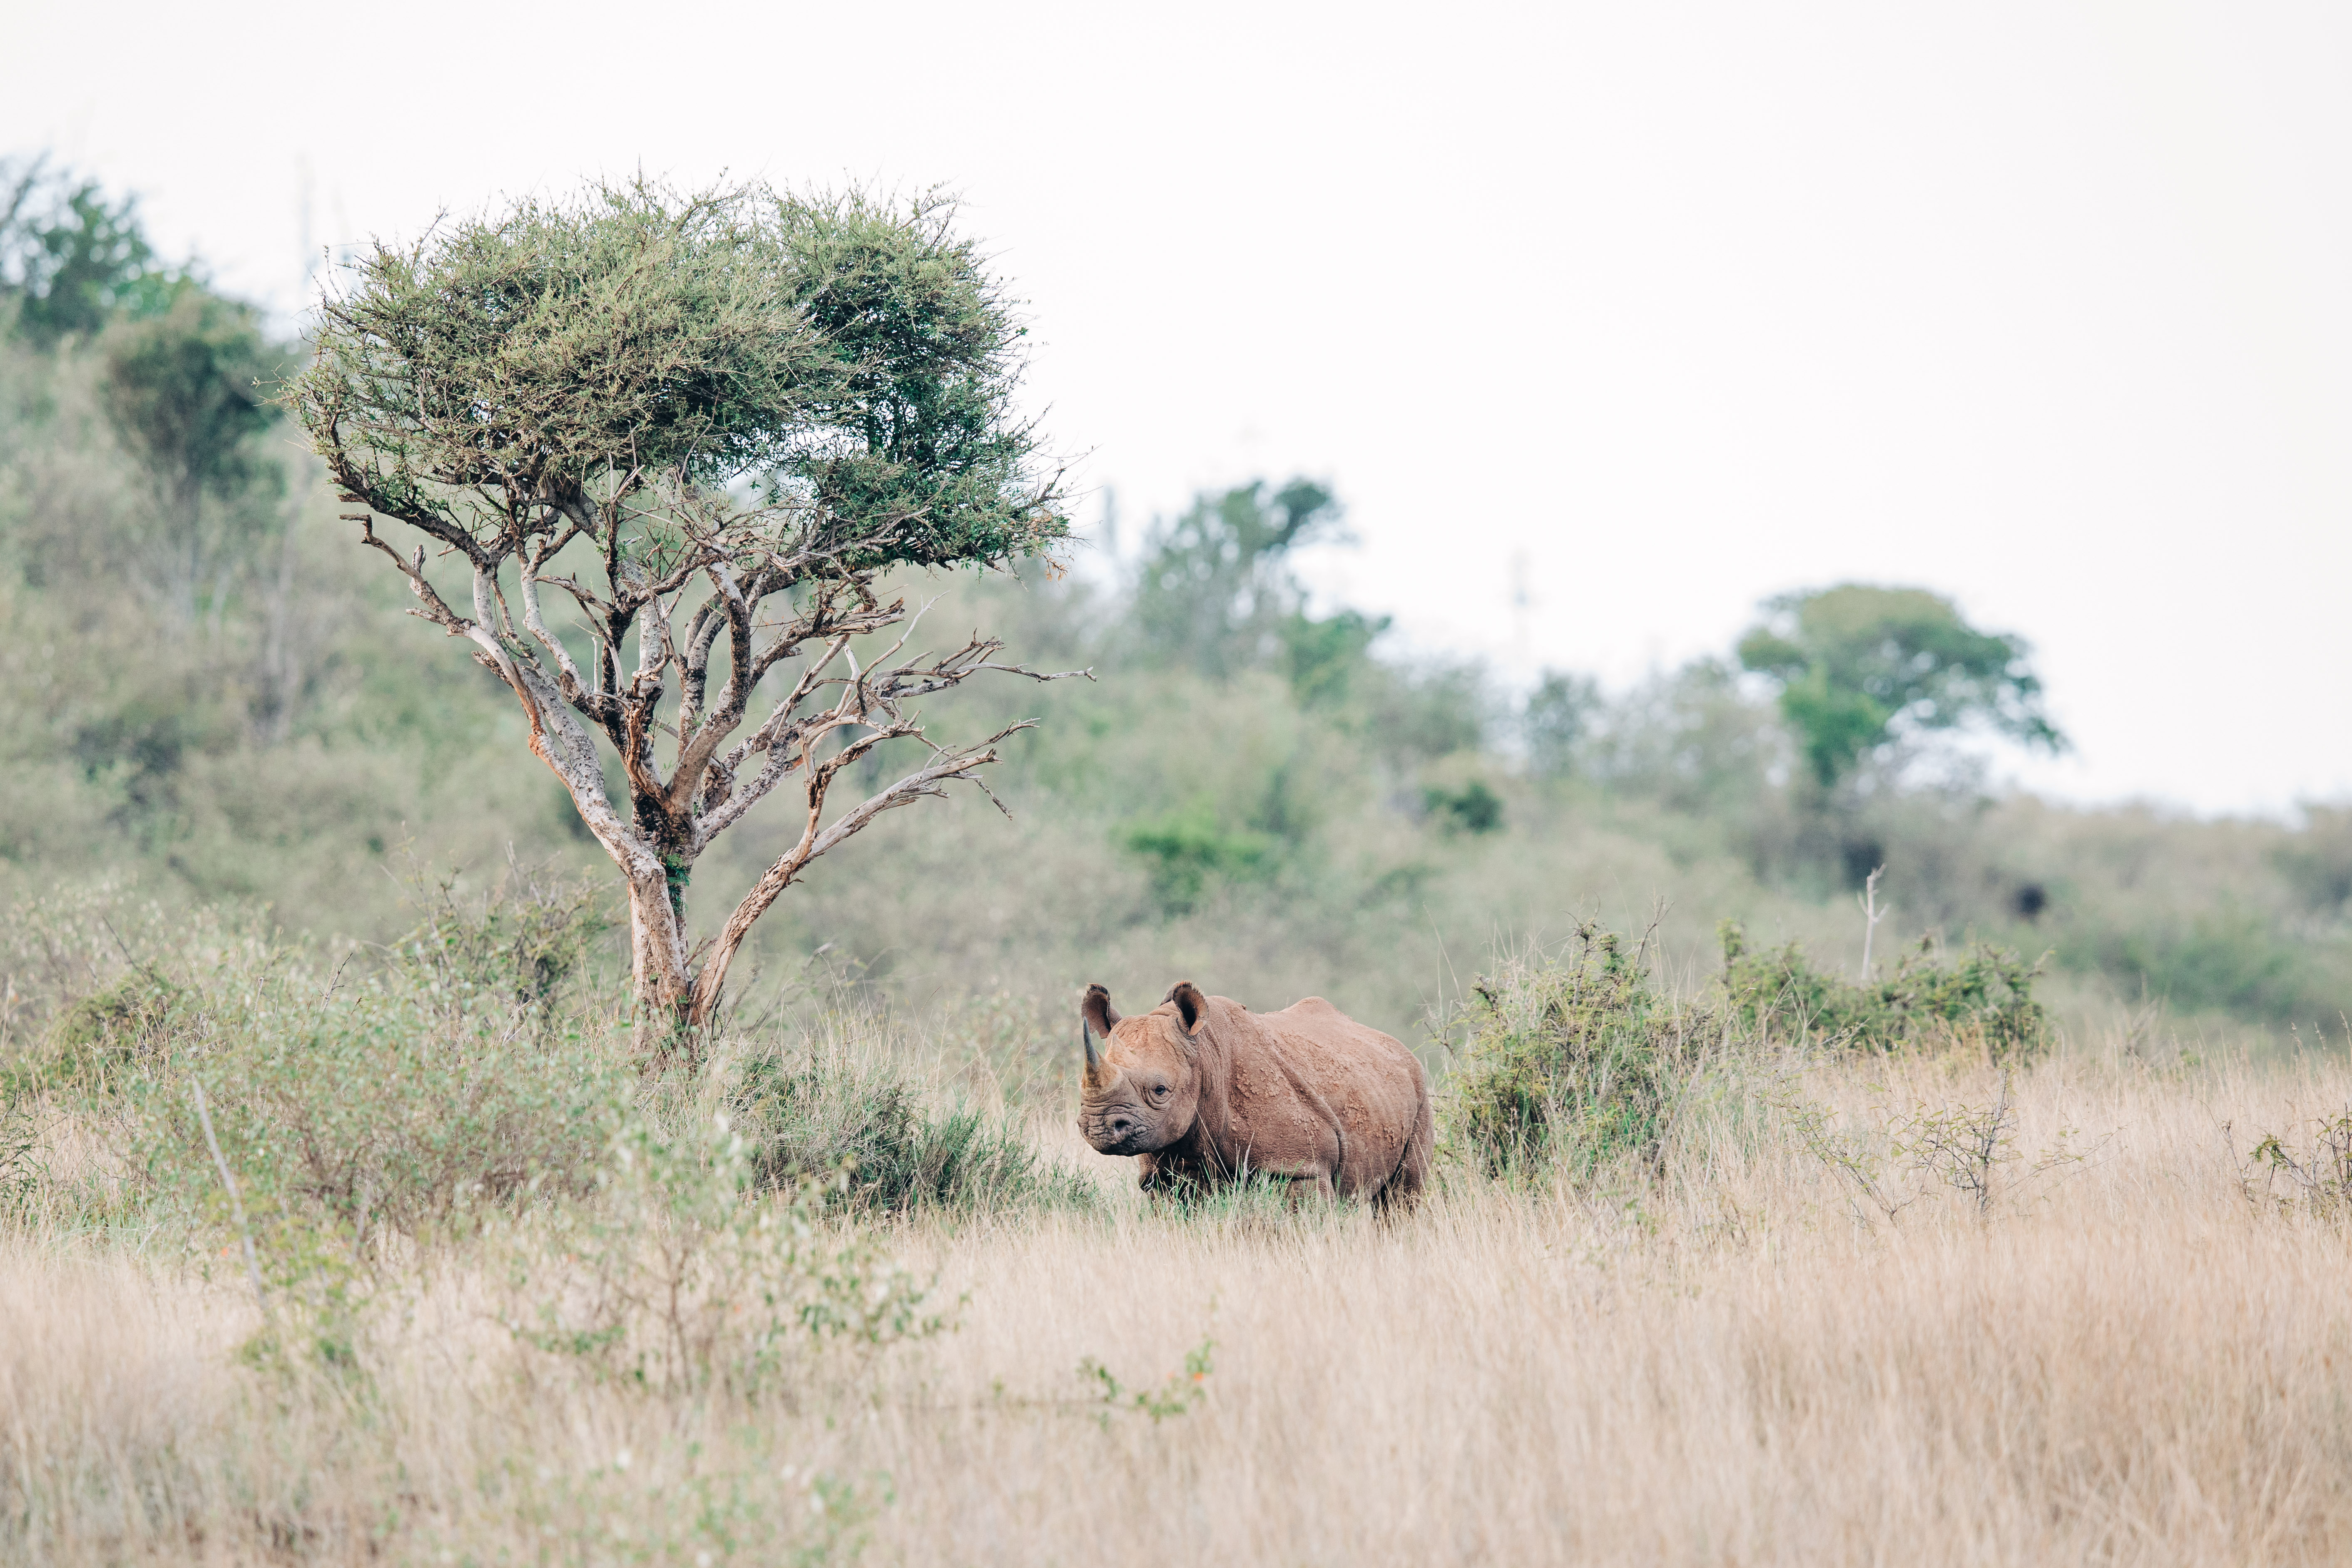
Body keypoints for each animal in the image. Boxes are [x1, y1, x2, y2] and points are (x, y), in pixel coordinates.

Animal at [1077, 980, 1433, 1206]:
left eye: (1160, 1090)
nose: (1097, 1126)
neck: (1205, 1059)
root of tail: (1399, 1048)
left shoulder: (1301, 1167)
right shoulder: (1162, 1176)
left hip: (1419, 1088)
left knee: (1403, 1196)